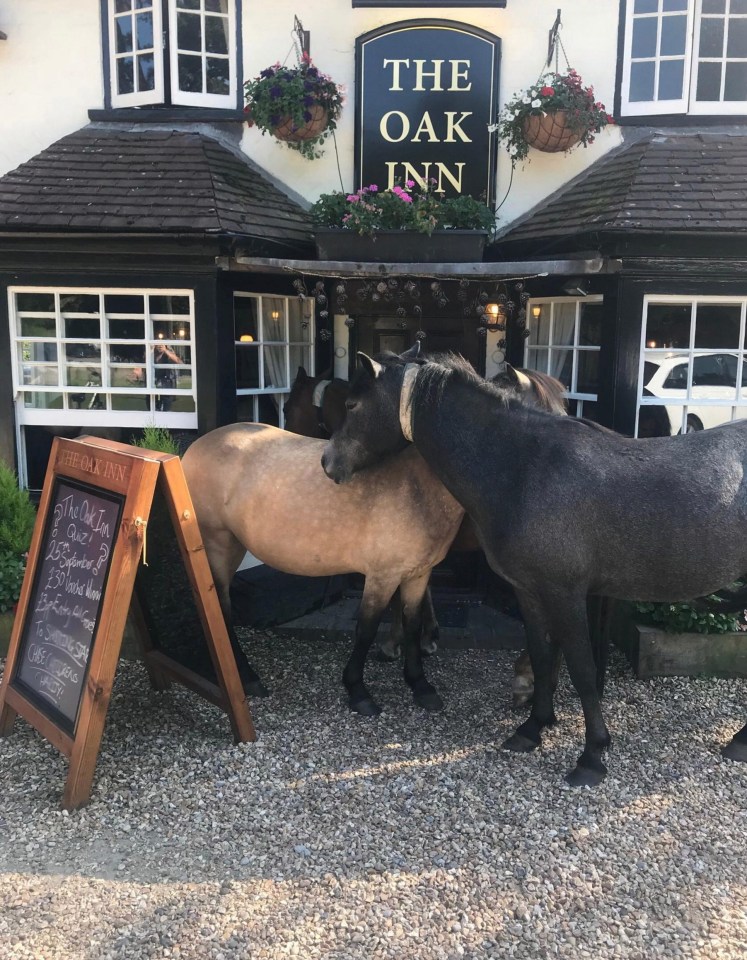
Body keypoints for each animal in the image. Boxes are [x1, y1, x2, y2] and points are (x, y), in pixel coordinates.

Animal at [322, 348, 747, 784]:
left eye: (352, 405)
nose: (328, 462)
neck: (526, 469)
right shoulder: (529, 590)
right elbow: (543, 657)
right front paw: (532, 728)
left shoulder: (567, 594)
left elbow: (582, 669)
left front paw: (591, 755)